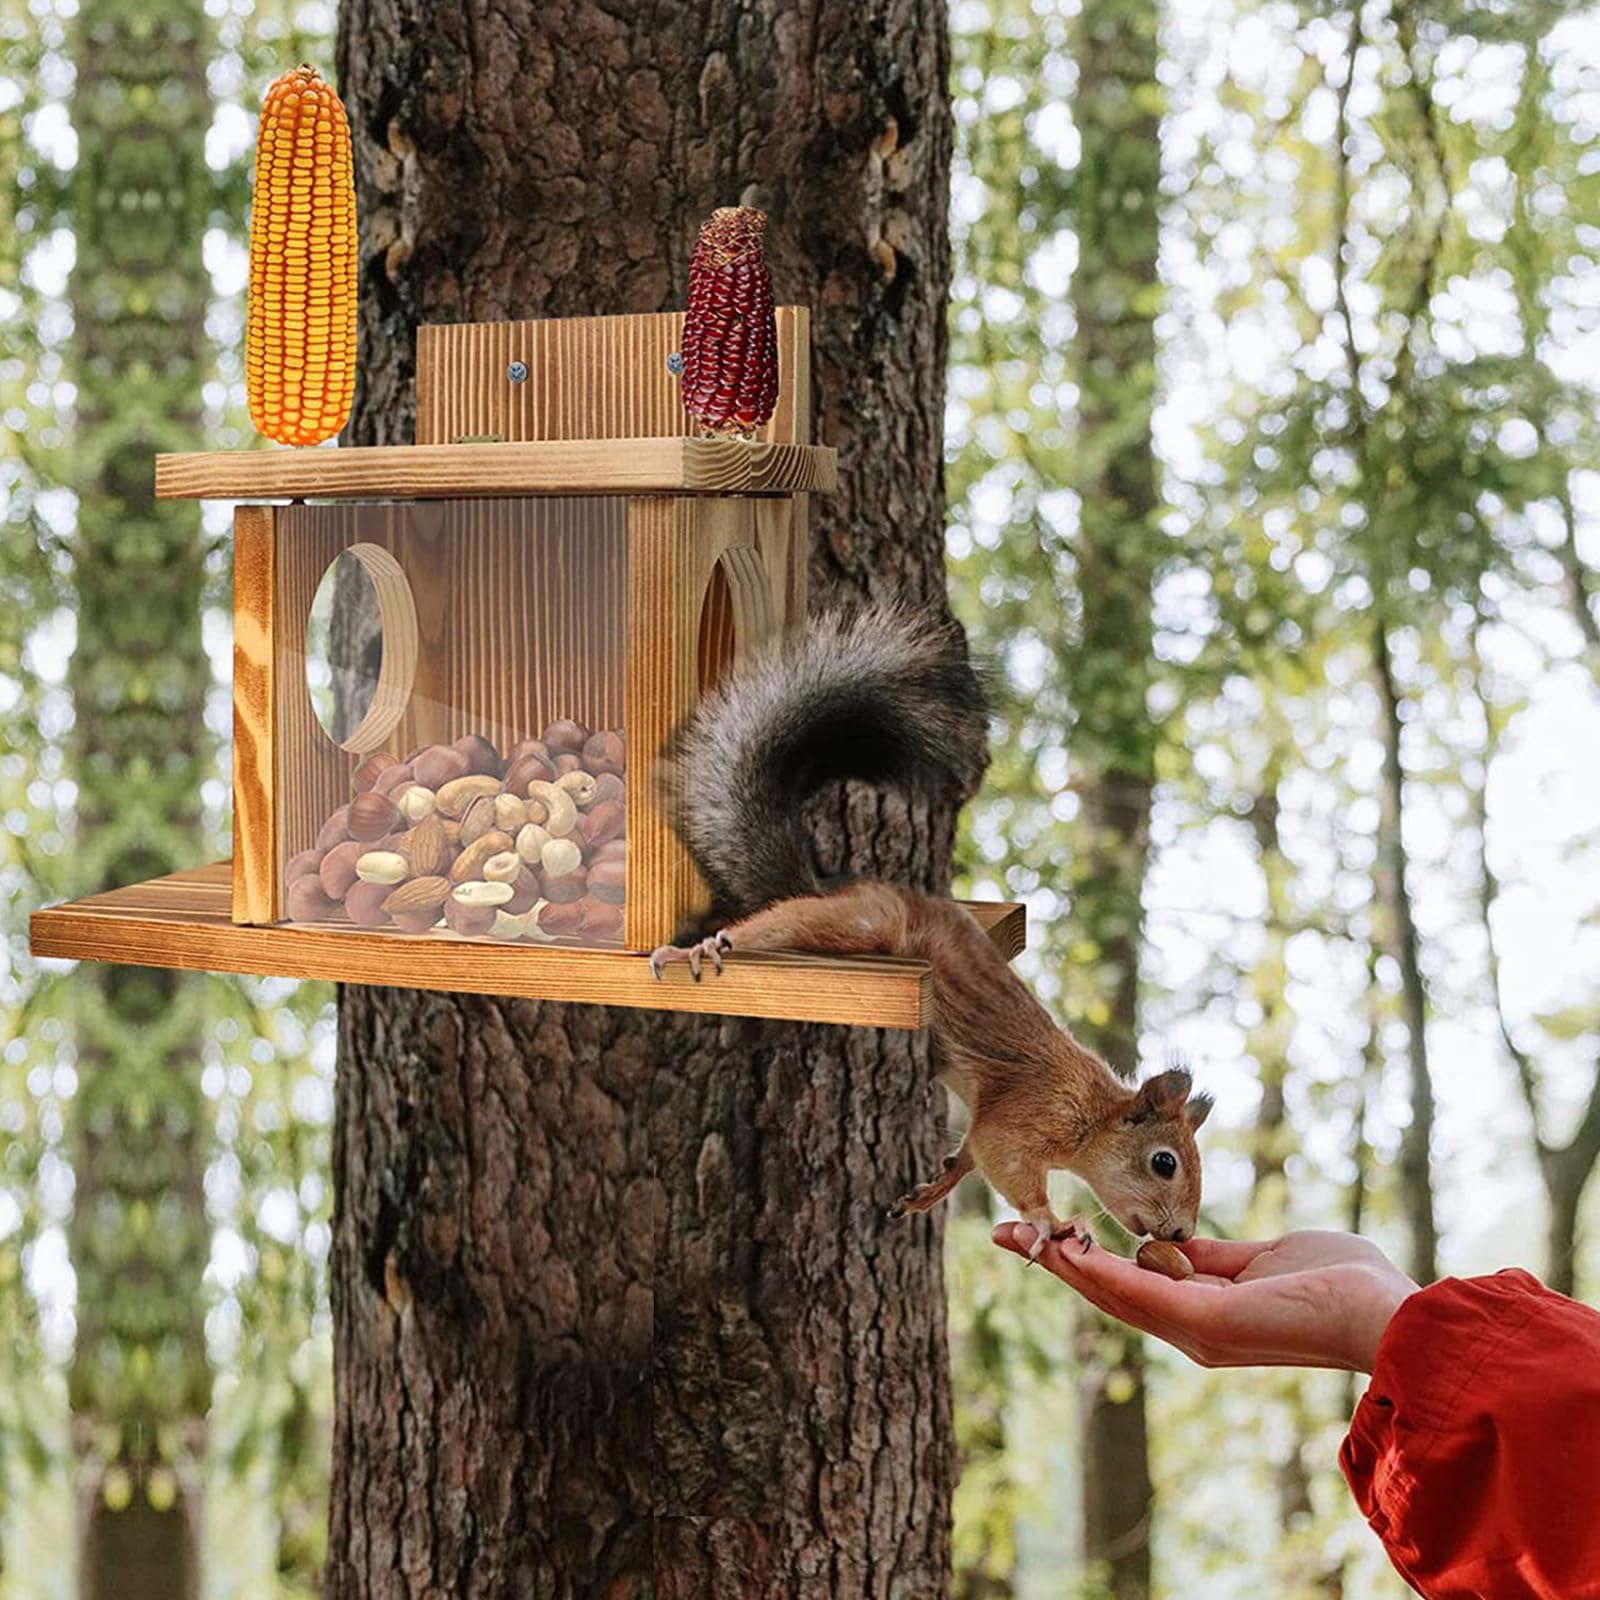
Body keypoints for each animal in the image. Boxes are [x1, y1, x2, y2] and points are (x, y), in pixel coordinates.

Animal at [650, 605, 1212, 1259]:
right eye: (1165, 1162)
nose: (1183, 1233)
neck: (1092, 1113)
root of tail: (838, 887)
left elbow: (970, 1152)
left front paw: (934, 1187)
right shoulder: (1028, 1114)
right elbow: (1004, 1158)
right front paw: (1053, 1221)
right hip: (863, 922)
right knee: (777, 923)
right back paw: (700, 947)